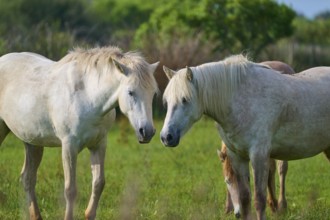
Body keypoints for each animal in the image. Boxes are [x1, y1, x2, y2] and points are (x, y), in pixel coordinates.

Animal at [0, 45, 159, 219]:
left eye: (153, 93)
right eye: (131, 92)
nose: (147, 131)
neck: (87, 95)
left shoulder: (99, 144)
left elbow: (98, 183)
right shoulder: (69, 147)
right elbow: (70, 189)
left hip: (32, 143)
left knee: (27, 178)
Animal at [161, 54, 330, 219]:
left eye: (185, 99)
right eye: (167, 101)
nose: (166, 137)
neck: (240, 99)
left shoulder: (259, 156)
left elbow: (259, 199)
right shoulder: (237, 156)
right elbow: (245, 198)